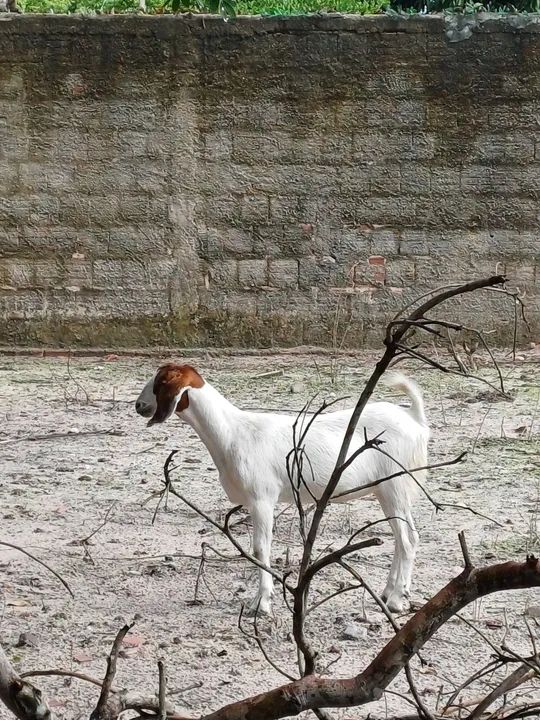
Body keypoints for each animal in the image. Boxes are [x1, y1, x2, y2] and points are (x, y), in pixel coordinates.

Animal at [135, 363, 429, 614]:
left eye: (161, 383)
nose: (139, 405)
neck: (232, 433)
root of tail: (414, 420)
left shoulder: (262, 499)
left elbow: (260, 548)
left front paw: (261, 603)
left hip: (395, 485)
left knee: (407, 540)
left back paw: (395, 601)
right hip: (389, 490)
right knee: (405, 538)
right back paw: (390, 591)